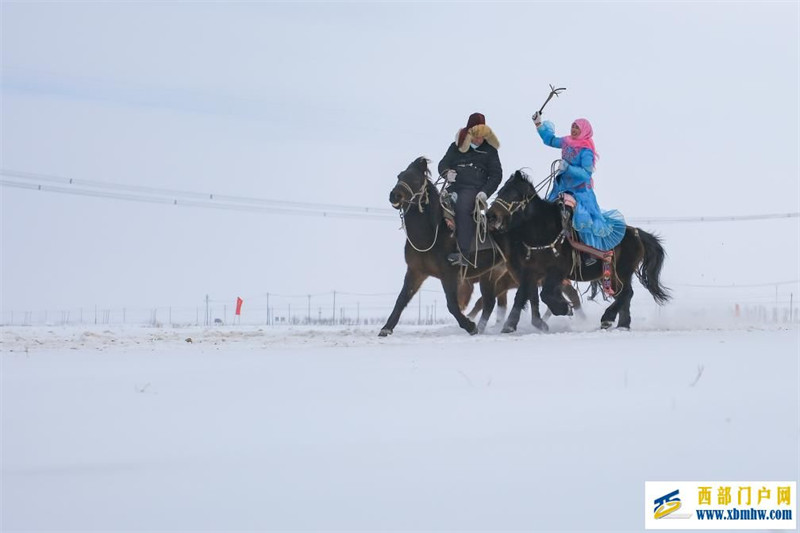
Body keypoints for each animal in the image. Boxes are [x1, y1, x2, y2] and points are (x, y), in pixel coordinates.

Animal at [382, 156, 510, 334]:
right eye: (399, 176)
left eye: (415, 179)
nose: (394, 195)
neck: (431, 234)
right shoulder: (416, 272)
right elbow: (401, 299)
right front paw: (386, 328)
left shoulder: (449, 274)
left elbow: (452, 304)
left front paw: (469, 326)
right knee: (491, 302)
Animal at [488, 170, 668, 330]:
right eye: (501, 191)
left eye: (514, 194)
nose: (491, 215)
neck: (543, 231)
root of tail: (636, 233)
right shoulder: (529, 272)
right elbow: (521, 296)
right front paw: (509, 326)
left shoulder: (556, 271)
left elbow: (545, 295)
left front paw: (564, 308)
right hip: (616, 275)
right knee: (623, 296)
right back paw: (622, 325)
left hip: (622, 271)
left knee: (626, 294)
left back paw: (608, 318)